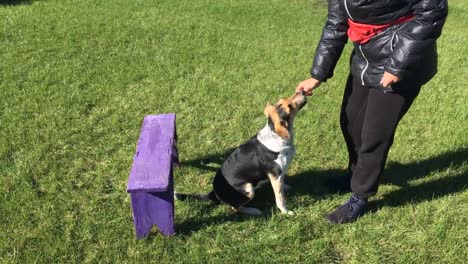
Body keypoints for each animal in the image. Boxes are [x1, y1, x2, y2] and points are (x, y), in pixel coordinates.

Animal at [176, 92, 308, 216]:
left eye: (283, 99)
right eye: (290, 107)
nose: (301, 92)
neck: (276, 135)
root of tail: (214, 193)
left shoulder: (278, 175)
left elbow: (281, 186)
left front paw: (286, 187)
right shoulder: (275, 175)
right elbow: (280, 199)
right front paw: (286, 212)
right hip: (248, 188)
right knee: (235, 208)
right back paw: (254, 211)